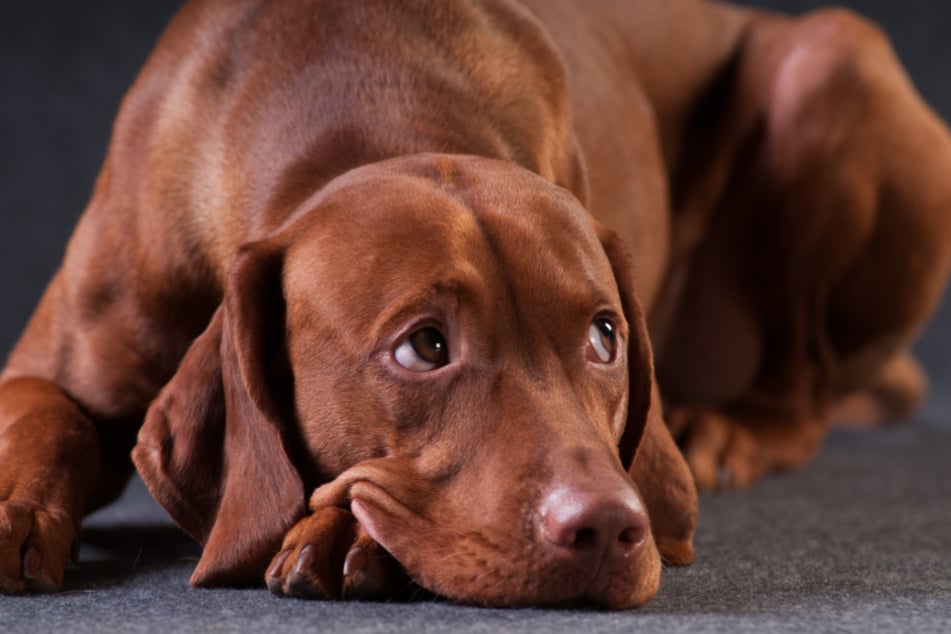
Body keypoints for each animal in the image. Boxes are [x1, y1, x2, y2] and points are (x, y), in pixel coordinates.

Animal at [1, 0, 951, 608]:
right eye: (424, 347)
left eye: (604, 337)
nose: (608, 528)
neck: (362, 93)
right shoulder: (56, 362)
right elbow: (45, 416)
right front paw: (13, 507)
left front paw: (346, 533)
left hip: (829, 55)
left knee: (800, 386)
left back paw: (734, 428)